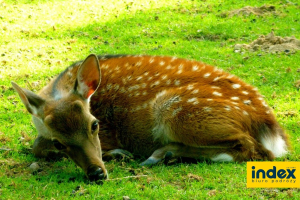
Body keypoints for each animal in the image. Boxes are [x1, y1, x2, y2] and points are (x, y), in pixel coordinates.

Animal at [11, 54, 288, 182]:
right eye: (59, 142)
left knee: (255, 150)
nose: (96, 172)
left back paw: (161, 154)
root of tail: (268, 121)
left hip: (175, 109)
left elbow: (36, 147)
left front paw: (118, 154)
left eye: (95, 125)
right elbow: (37, 146)